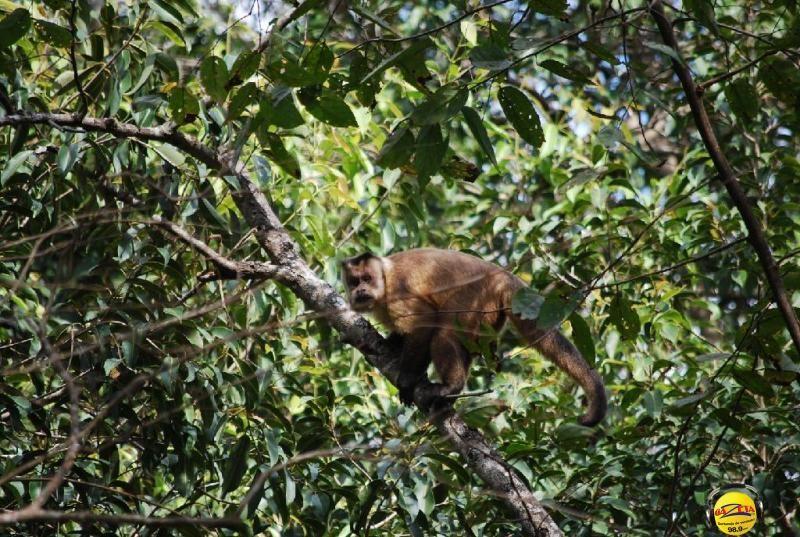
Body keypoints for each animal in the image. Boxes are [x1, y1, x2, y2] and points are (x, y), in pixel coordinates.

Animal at [340, 248, 608, 428]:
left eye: (367, 279)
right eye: (354, 282)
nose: (360, 290)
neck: (385, 279)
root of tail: (503, 277)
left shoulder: (398, 291)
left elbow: (425, 322)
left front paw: (407, 380)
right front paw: (388, 344)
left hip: (478, 301)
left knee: (444, 332)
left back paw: (451, 387)